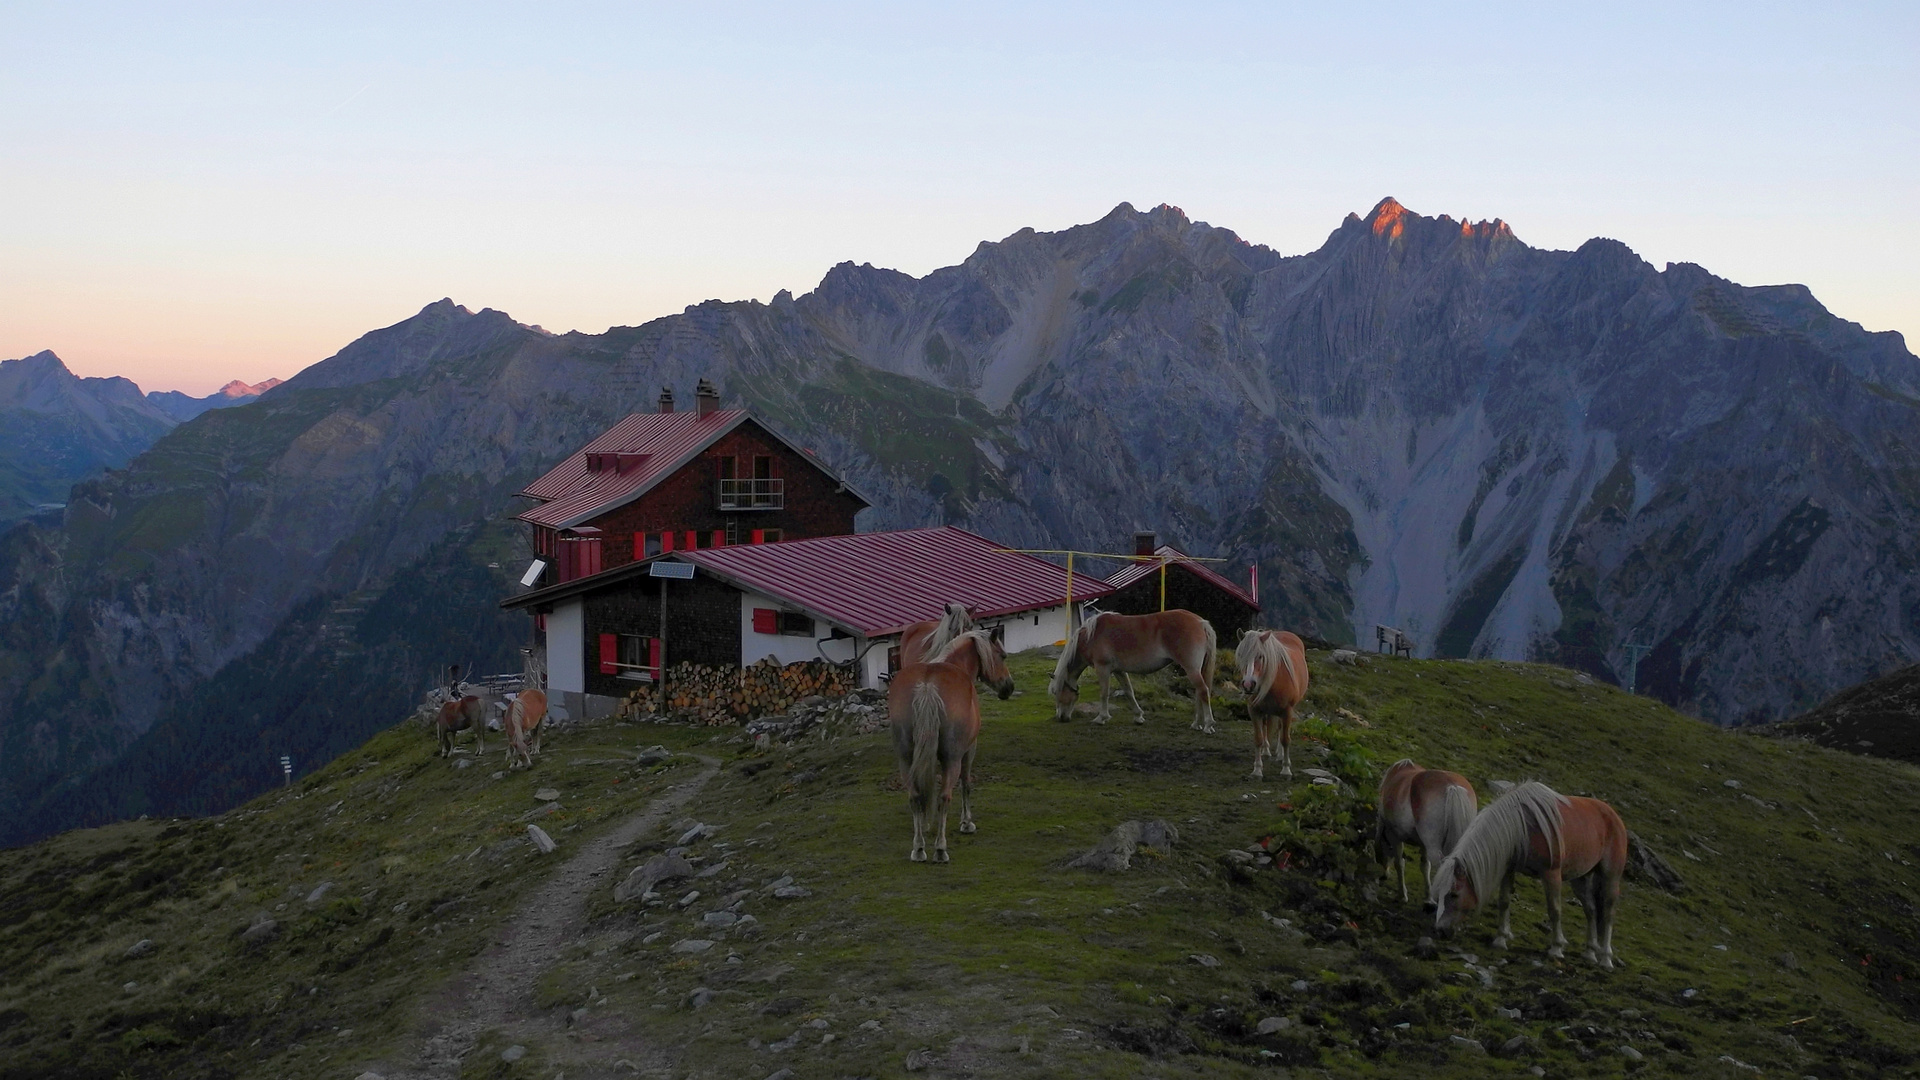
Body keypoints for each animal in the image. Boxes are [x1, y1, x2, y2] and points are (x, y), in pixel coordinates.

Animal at [887, 626, 1021, 860]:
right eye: (1002, 656)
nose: (1008, 687)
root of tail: (927, 686)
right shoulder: (969, 750)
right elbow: (966, 784)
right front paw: (966, 823)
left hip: (905, 759)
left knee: (915, 797)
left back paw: (918, 847)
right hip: (952, 759)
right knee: (944, 797)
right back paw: (940, 849)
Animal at [1052, 611, 1213, 726]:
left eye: (1056, 693)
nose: (1061, 717)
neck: (1091, 636)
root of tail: (1200, 622)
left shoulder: (1102, 668)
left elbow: (1104, 693)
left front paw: (1101, 718)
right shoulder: (1119, 671)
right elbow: (1129, 692)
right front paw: (1138, 716)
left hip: (1191, 669)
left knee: (1203, 691)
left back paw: (1208, 724)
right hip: (1197, 670)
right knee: (1199, 692)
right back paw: (1196, 724)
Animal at [1236, 626, 1313, 776]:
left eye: (1260, 656)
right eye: (1241, 655)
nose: (1248, 685)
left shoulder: (1287, 711)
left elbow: (1285, 739)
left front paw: (1286, 769)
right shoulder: (1254, 710)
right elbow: (1258, 738)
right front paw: (1257, 770)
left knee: (1281, 729)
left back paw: (1280, 754)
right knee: (1267, 726)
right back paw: (1266, 751)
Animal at [1374, 757, 1474, 899]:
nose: (1384, 875)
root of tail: (1452, 786)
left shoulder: (1395, 836)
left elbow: (1399, 863)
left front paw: (1402, 894)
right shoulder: (1423, 844)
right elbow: (1425, 866)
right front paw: (1428, 895)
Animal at [1436, 772, 1628, 968]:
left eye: (1454, 895)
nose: (1440, 931)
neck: (1522, 828)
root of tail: (1614, 816)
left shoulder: (1551, 874)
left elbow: (1554, 910)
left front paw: (1556, 948)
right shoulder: (1509, 869)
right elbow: (1504, 902)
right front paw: (1500, 939)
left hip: (1610, 877)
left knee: (1608, 914)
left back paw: (1605, 959)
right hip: (1580, 878)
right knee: (1591, 910)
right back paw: (1589, 952)